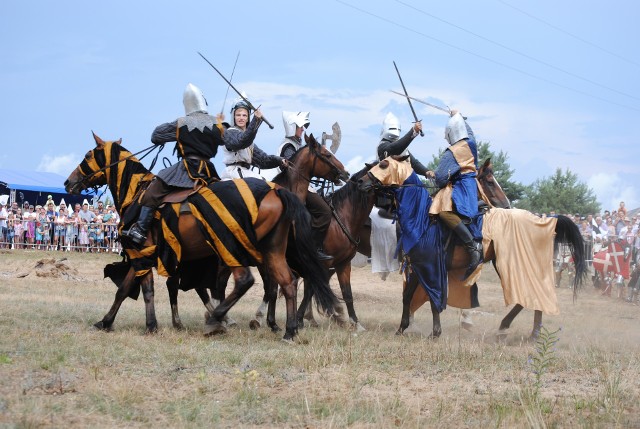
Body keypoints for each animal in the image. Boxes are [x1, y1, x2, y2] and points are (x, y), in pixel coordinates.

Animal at [63, 132, 340, 340]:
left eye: (88, 155)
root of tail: (276, 192)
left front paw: (147, 325)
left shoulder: (141, 253)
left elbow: (141, 289)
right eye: (326, 155)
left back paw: (218, 319)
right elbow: (127, 289)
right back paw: (287, 330)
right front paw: (108, 322)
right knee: (287, 283)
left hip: (235, 250)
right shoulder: (146, 256)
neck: (135, 192)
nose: (68, 183)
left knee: (247, 282)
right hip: (269, 251)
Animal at [358, 155, 588, 340]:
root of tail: (544, 220)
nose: (360, 181)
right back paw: (531, 333)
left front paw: (435, 332)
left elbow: (433, 298)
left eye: (383, 164)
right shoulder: (417, 267)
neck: (421, 218)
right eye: (490, 181)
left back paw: (509, 329)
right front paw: (401, 329)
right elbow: (407, 297)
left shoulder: (430, 267)